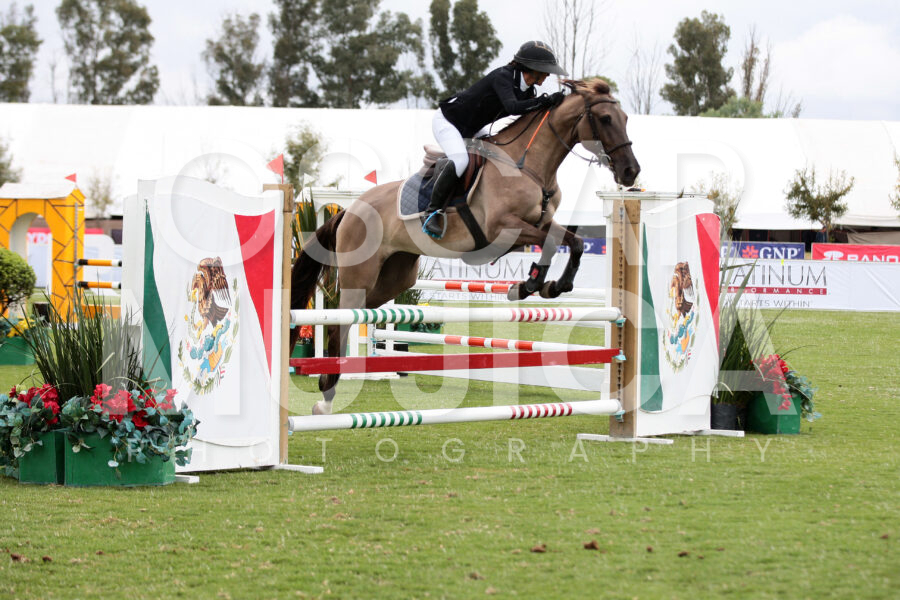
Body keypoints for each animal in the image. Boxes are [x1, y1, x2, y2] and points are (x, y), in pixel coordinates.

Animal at [291, 78, 640, 415]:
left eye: (625, 119)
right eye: (606, 119)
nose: (631, 172)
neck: (528, 167)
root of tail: (350, 209)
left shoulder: (536, 227)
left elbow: (571, 241)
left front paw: (540, 285)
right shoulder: (503, 229)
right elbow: (554, 242)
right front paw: (535, 285)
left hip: (394, 277)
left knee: (350, 316)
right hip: (359, 275)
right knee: (339, 321)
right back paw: (326, 394)